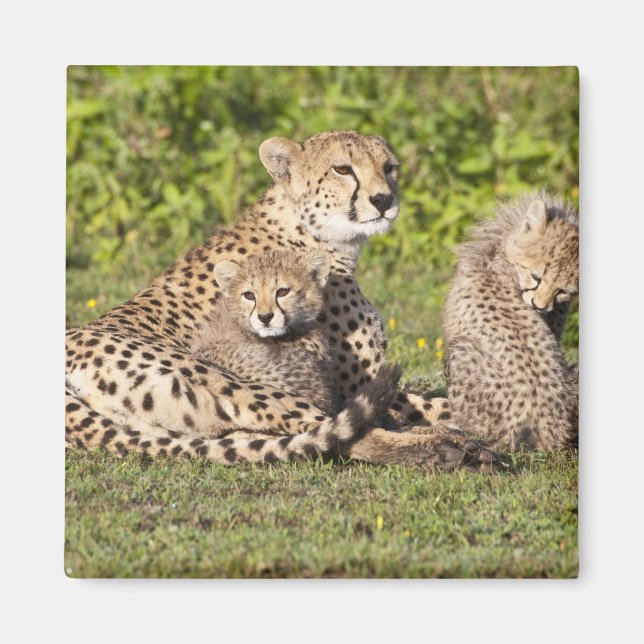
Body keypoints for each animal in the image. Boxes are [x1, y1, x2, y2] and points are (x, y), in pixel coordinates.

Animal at [66, 130, 501, 471]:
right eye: (343, 169)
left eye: (389, 167)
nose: (383, 200)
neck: (313, 233)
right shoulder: (351, 383)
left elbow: (445, 402)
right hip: (230, 382)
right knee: (339, 431)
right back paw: (450, 450)